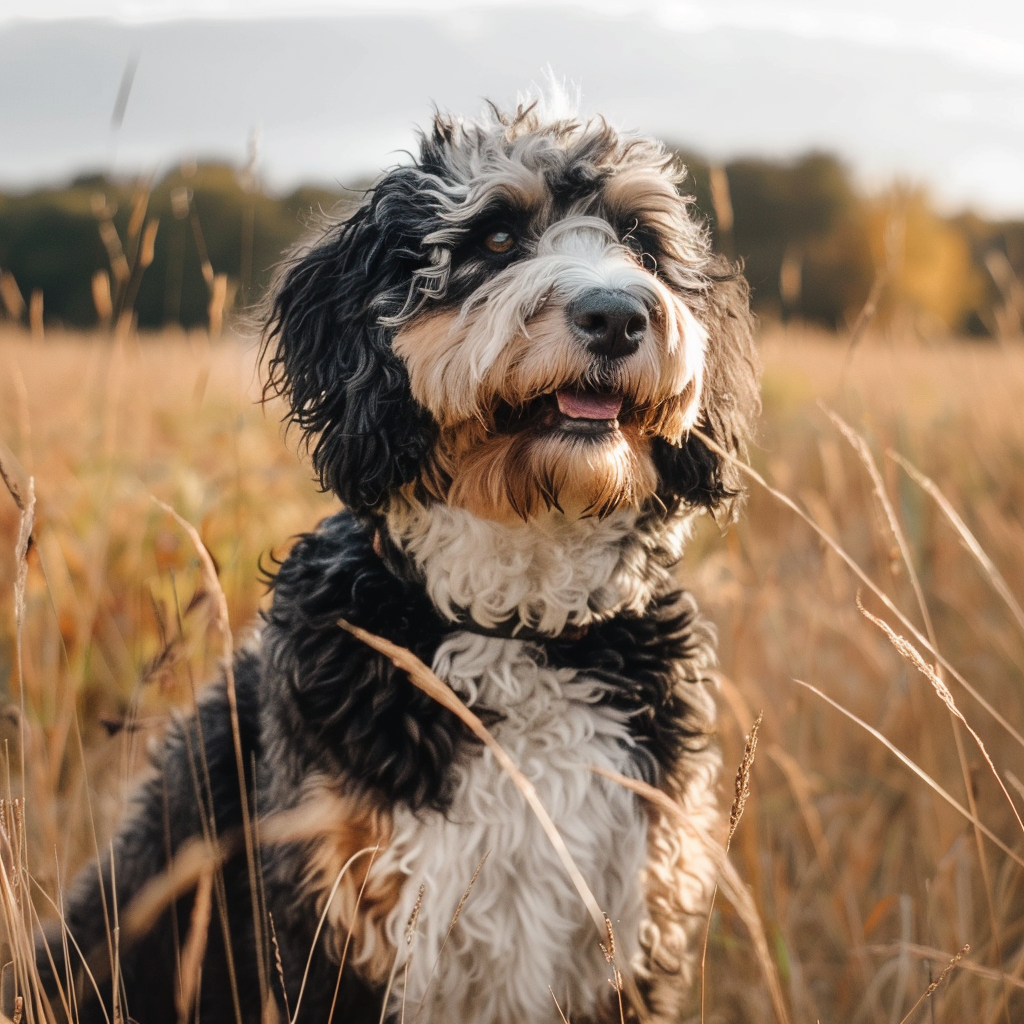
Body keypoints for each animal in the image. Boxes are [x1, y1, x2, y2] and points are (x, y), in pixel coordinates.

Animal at [37, 96, 761, 1024]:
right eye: (496, 237)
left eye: (640, 241)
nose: (617, 315)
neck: (518, 630)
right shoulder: (339, 923)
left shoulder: (632, 922)